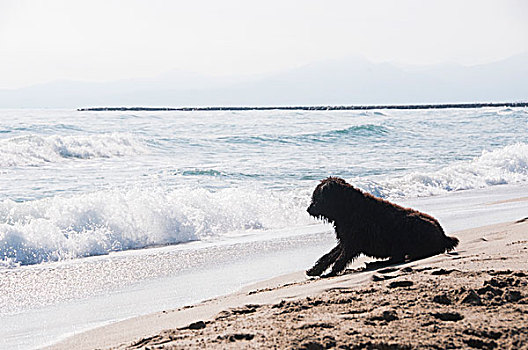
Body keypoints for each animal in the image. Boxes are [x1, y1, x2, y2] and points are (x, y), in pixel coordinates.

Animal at [306, 178, 458, 276]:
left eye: (317, 197)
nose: (308, 209)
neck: (349, 208)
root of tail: (443, 235)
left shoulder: (352, 243)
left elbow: (340, 259)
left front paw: (331, 273)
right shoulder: (346, 240)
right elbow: (328, 256)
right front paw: (314, 270)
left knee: (401, 257)